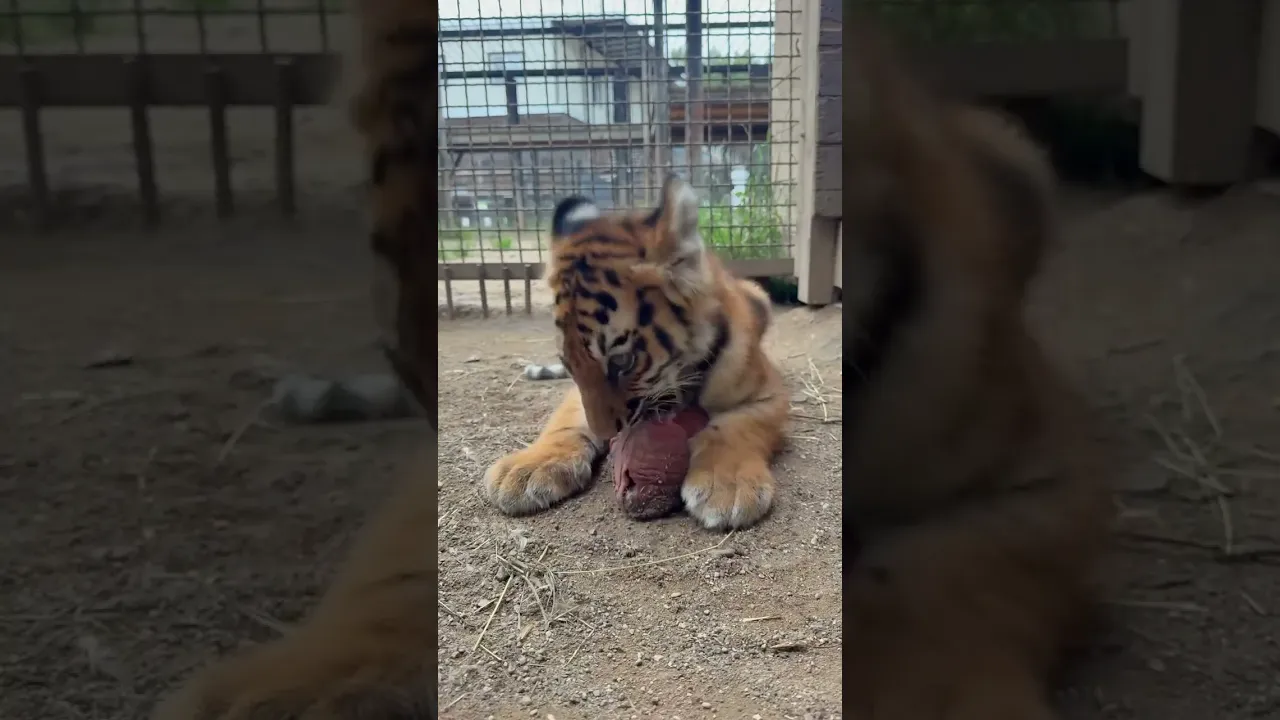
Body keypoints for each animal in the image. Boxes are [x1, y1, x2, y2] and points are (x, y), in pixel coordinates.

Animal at [481, 174, 789, 529]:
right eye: (570, 364)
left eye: (621, 362)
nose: (606, 434)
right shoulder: (577, 394)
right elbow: (566, 420)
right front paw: (525, 470)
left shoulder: (771, 394)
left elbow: (736, 428)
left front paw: (727, 486)